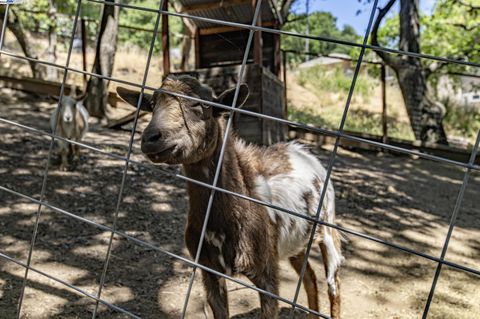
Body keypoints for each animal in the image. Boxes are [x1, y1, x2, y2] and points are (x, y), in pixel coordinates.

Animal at [116, 76, 342, 318]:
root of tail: (302, 150)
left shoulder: (267, 272)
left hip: (328, 227)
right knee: (309, 277)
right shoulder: (208, 268)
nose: (151, 138)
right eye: (151, 104)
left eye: (200, 105)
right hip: (296, 243)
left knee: (333, 284)